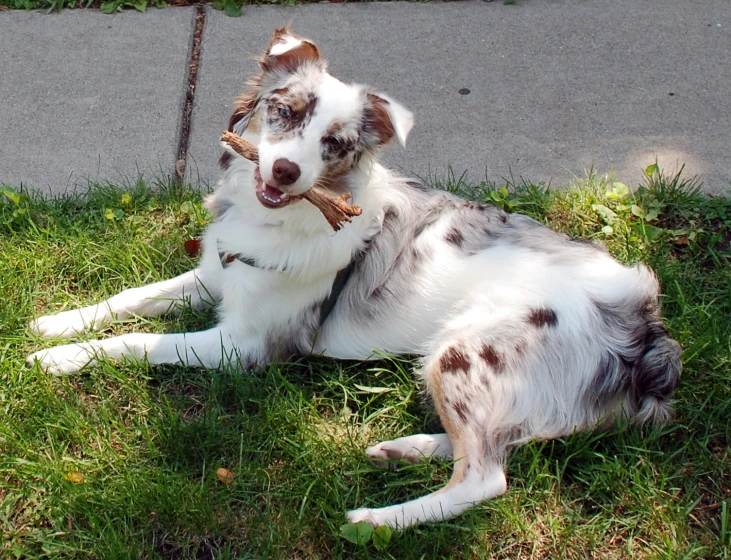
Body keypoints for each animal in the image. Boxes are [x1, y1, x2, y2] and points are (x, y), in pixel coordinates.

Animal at [25, 27, 684, 528]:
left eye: (336, 144)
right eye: (283, 112)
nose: (286, 172)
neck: (280, 218)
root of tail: (650, 327)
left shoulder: (242, 347)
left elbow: (138, 341)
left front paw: (58, 359)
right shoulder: (218, 274)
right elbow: (129, 298)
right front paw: (56, 323)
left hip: (464, 352)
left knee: (487, 476)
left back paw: (381, 519)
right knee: (497, 443)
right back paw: (402, 450)